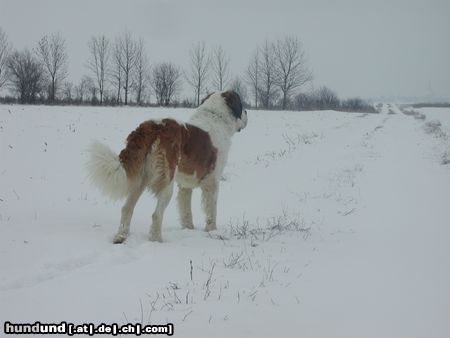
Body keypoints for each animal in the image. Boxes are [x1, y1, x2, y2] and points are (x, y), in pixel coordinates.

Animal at [86, 90, 248, 243]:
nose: (247, 112)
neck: (216, 117)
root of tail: (151, 126)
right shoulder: (212, 182)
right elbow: (211, 210)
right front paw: (212, 231)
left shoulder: (185, 186)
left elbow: (186, 210)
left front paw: (189, 229)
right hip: (166, 181)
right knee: (156, 214)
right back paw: (157, 240)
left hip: (141, 179)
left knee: (127, 208)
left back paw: (121, 236)